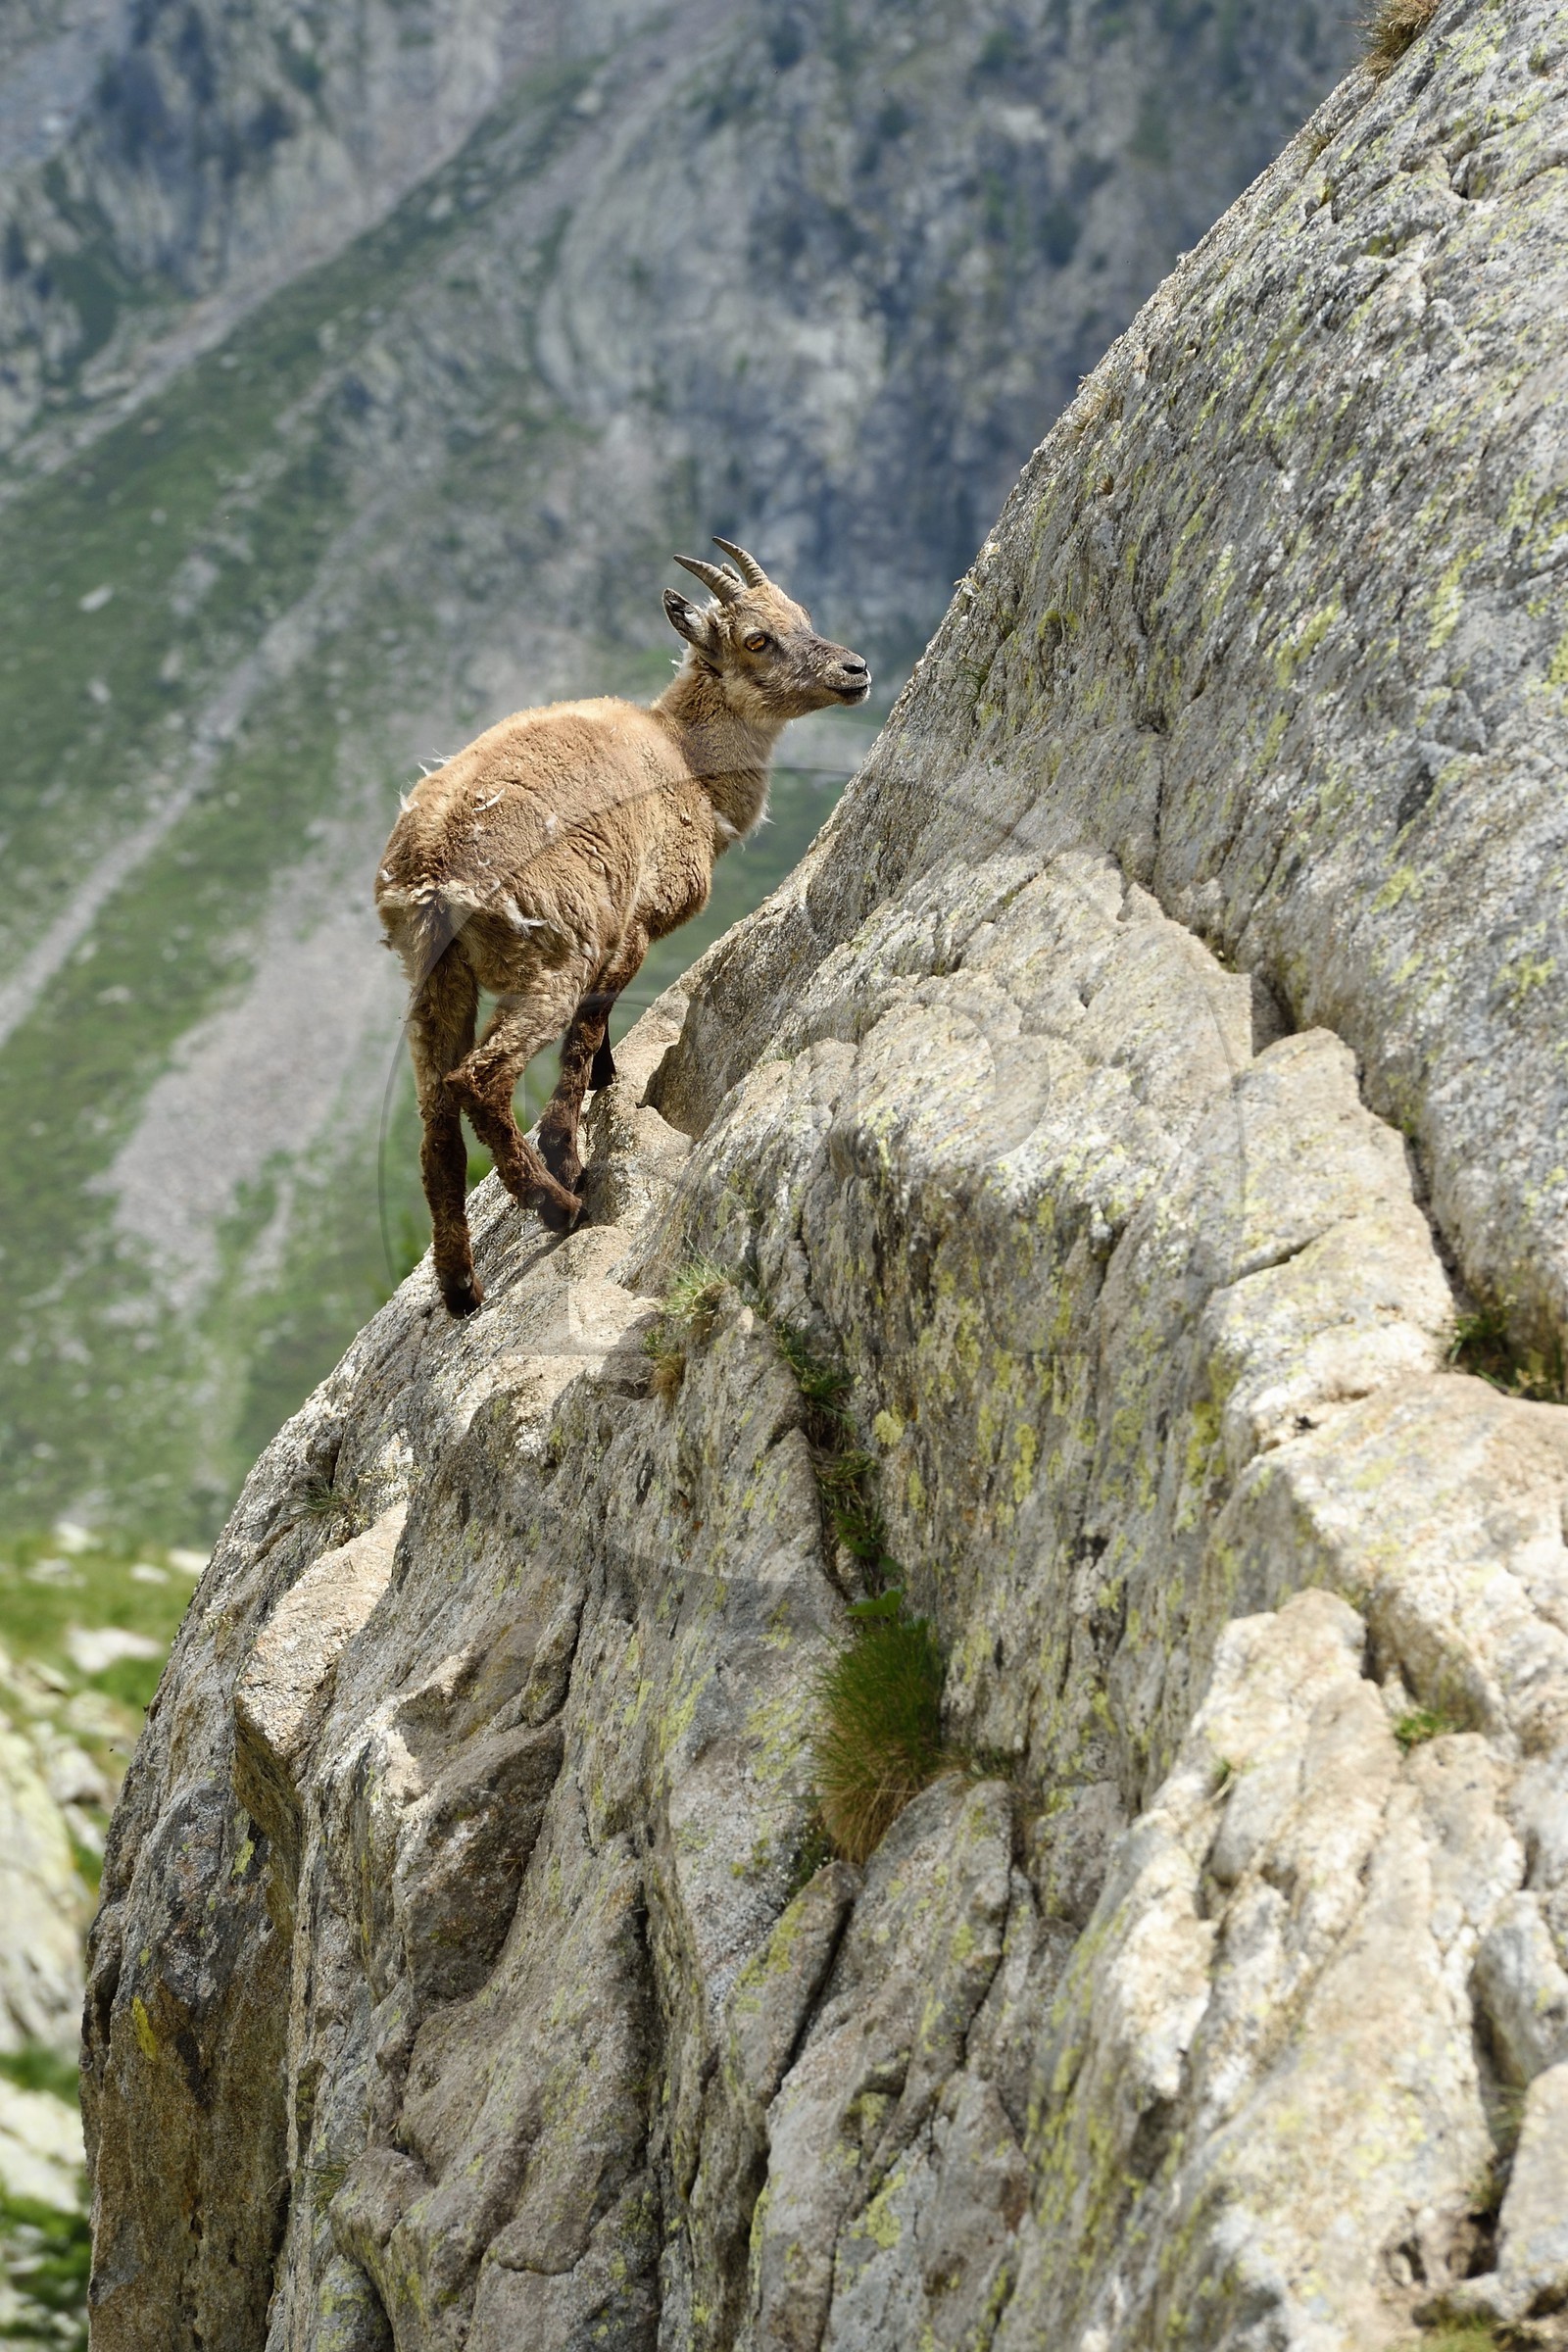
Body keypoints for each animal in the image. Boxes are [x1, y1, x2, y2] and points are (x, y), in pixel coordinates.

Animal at [376, 538, 871, 1316]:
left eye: (802, 615)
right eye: (757, 638)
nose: (855, 670)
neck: (686, 761)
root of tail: (426, 870)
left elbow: (595, 1028)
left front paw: (605, 1082)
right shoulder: (632, 922)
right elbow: (587, 1029)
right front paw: (573, 1138)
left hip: (435, 981)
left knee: (434, 1126)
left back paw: (460, 1288)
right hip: (545, 956)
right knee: (480, 1080)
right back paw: (557, 1204)